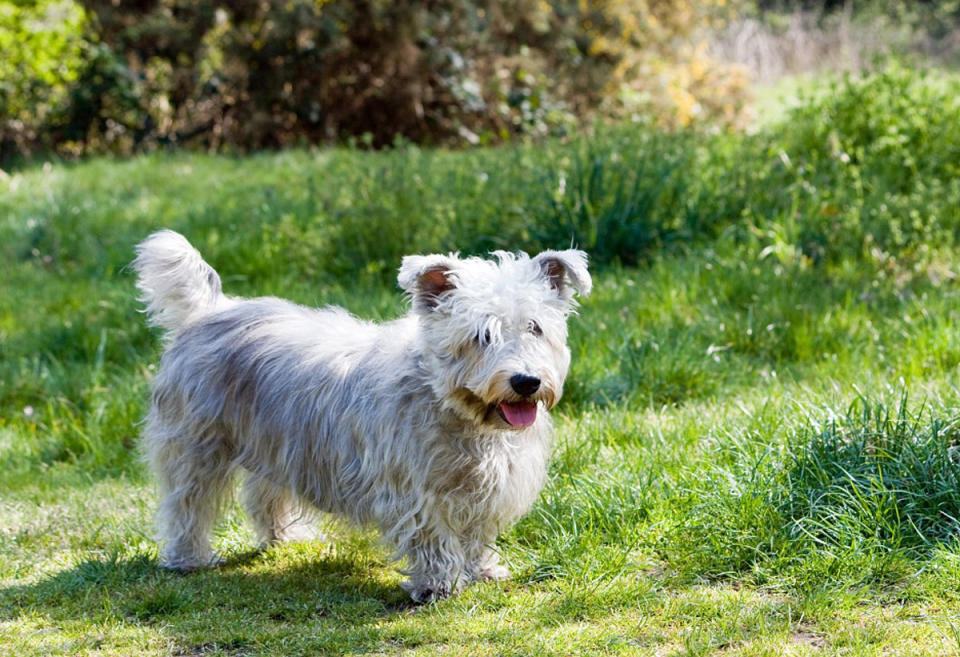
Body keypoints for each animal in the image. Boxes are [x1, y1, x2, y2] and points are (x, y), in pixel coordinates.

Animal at [131, 229, 588, 600]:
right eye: (482, 335)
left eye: (534, 327)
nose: (526, 381)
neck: (449, 404)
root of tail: (208, 311)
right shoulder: (413, 489)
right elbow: (432, 535)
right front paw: (438, 583)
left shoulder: (486, 487)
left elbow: (476, 532)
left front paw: (483, 569)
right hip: (196, 447)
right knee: (187, 505)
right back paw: (187, 558)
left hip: (277, 443)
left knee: (264, 497)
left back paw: (286, 537)